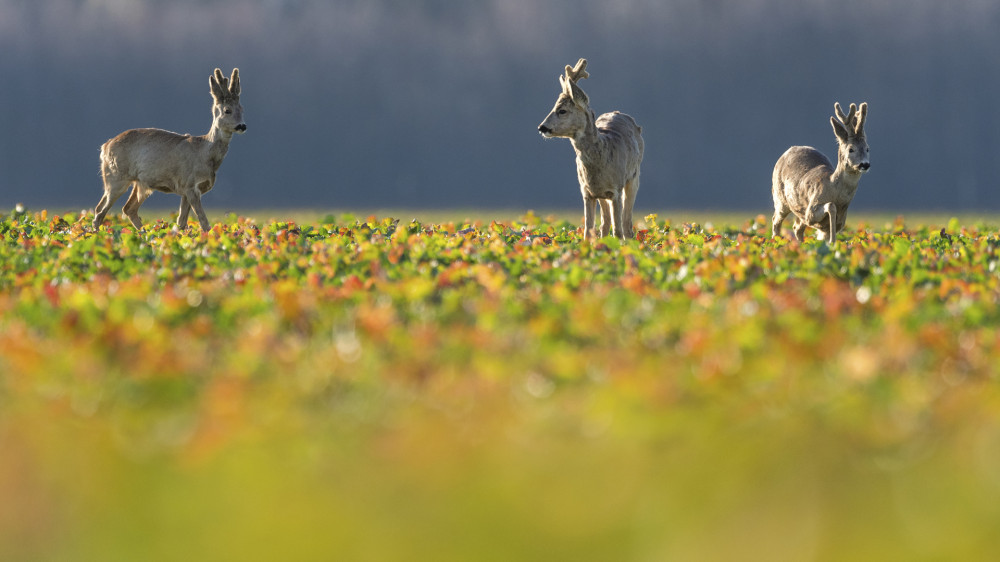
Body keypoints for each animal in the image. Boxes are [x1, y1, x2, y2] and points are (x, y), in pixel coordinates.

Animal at [93, 67, 247, 230]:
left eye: (242, 109)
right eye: (227, 110)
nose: (242, 126)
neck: (205, 153)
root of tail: (105, 146)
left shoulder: (186, 190)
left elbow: (181, 222)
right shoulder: (189, 184)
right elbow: (203, 221)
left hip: (140, 183)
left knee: (126, 209)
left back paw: (144, 233)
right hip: (116, 176)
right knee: (100, 212)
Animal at [536, 58, 644, 238]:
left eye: (562, 110)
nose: (542, 127)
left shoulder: (616, 189)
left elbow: (618, 231)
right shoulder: (587, 192)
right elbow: (588, 229)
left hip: (633, 178)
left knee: (626, 224)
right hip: (601, 194)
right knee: (605, 223)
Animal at [772, 101, 868, 242]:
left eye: (867, 148)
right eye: (851, 149)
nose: (864, 164)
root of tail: (786, 152)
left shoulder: (836, 223)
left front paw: (831, 244)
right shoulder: (811, 211)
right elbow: (831, 206)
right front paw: (833, 242)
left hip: (798, 210)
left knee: (796, 228)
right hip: (780, 199)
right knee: (775, 221)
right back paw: (775, 242)